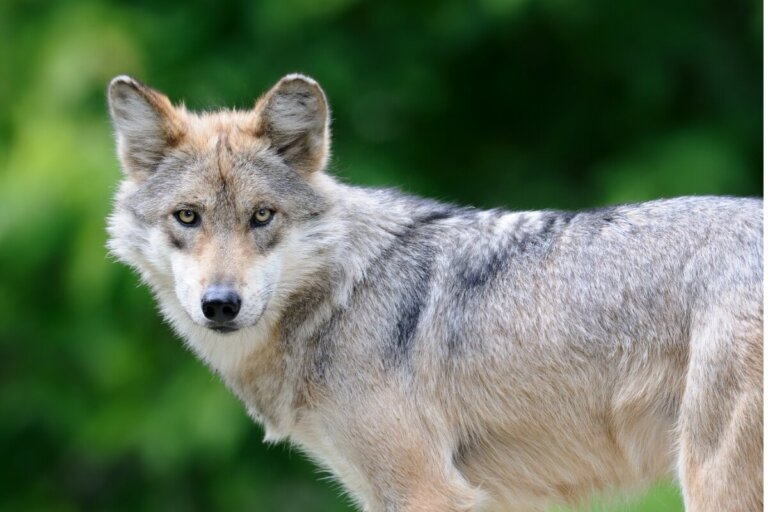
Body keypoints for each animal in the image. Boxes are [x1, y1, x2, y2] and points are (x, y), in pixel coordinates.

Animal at [106, 73, 763, 511]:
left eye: (261, 216)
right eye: (187, 217)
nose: (220, 304)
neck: (340, 298)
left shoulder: (428, 492)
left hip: (710, 481)